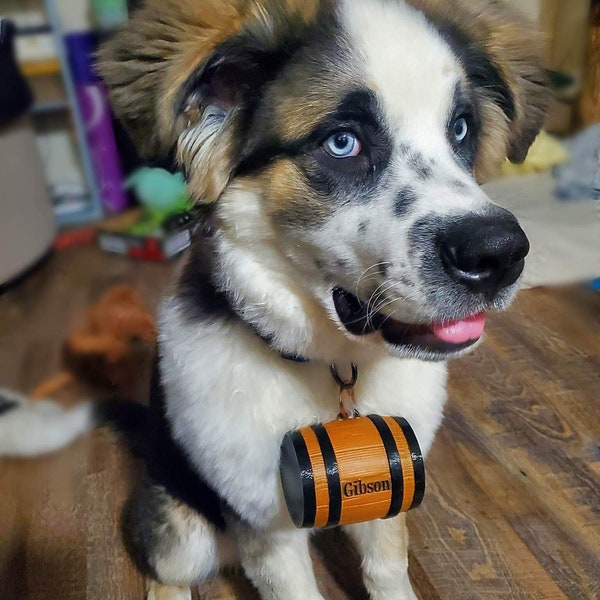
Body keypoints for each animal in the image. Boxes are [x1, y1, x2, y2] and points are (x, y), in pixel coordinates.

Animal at [97, 1, 548, 600]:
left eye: (460, 130)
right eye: (342, 143)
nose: (500, 255)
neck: (334, 366)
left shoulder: (391, 484)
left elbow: (387, 569)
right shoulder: (267, 526)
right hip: (182, 527)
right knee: (164, 572)